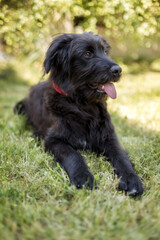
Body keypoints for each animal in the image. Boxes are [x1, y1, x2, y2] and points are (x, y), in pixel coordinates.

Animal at [14, 32, 143, 197]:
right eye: (87, 54)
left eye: (104, 51)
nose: (118, 70)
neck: (82, 106)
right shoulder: (54, 140)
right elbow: (73, 155)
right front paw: (83, 177)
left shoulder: (109, 137)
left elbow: (121, 156)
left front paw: (131, 179)